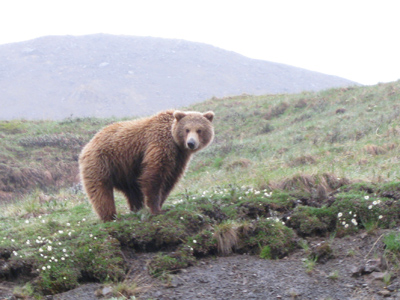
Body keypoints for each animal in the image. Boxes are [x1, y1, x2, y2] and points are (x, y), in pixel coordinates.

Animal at [79, 109, 214, 220]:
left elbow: (170, 180)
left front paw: (160, 203)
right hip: (101, 162)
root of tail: (87, 146)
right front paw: (156, 209)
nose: (191, 143)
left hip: (125, 170)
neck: (176, 142)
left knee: (132, 190)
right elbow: (154, 175)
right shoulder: (161, 143)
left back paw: (137, 209)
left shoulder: (179, 158)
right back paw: (110, 216)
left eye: (199, 130)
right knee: (101, 191)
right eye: (187, 129)